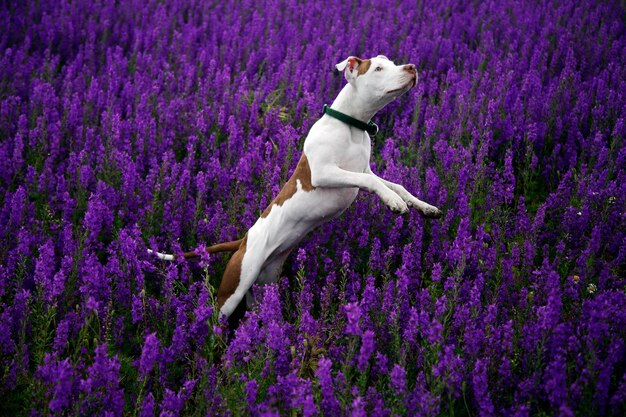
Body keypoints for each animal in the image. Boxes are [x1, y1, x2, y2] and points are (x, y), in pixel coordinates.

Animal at [149, 55, 442, 318]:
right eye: (379, 68)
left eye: (392, 63)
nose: (412, 67)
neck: (351, 127)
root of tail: (243, 241)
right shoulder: (325, 173)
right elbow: (374, 184)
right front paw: (394, 203)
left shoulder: (361, 171)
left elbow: (397, 185)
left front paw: (423, 206)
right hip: (235, 287)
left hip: (262, 285)